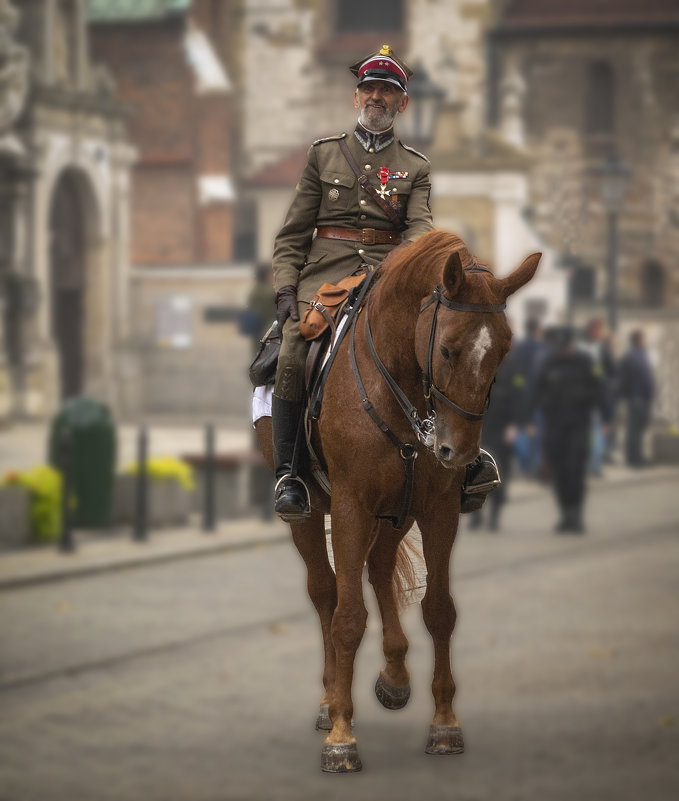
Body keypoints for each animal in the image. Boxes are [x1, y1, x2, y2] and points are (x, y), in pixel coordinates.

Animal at [256, 230, 540, 768]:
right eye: (447, 349)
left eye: (504, 350)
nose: (457, 451)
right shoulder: (350, 505)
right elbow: (347, 617)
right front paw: (342, 733)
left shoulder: (438, 510)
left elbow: (440, 609)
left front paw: (445, 723)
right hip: (314, 514)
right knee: (326, 591)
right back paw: (329, 698)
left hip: (395, 513)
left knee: (380, 569)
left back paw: (394, 675)